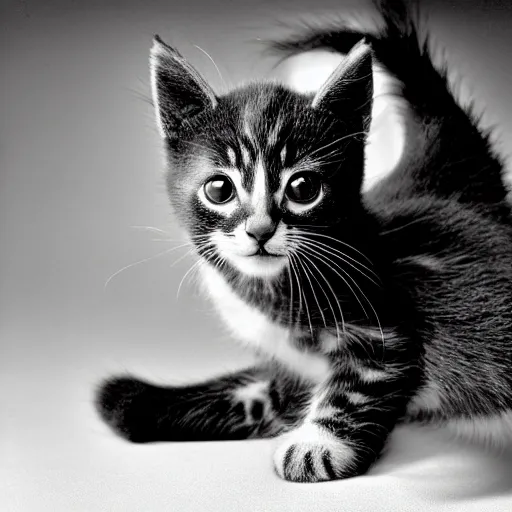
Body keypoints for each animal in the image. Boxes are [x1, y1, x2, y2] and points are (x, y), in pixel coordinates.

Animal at [97, 0, 512, 482]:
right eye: (219, 189)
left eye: (302, 189)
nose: (260, 230)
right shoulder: (290, 368)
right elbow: (259, 392)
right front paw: (133, 400)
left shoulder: (383, 322)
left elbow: (359, 384)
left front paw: (316, 446)